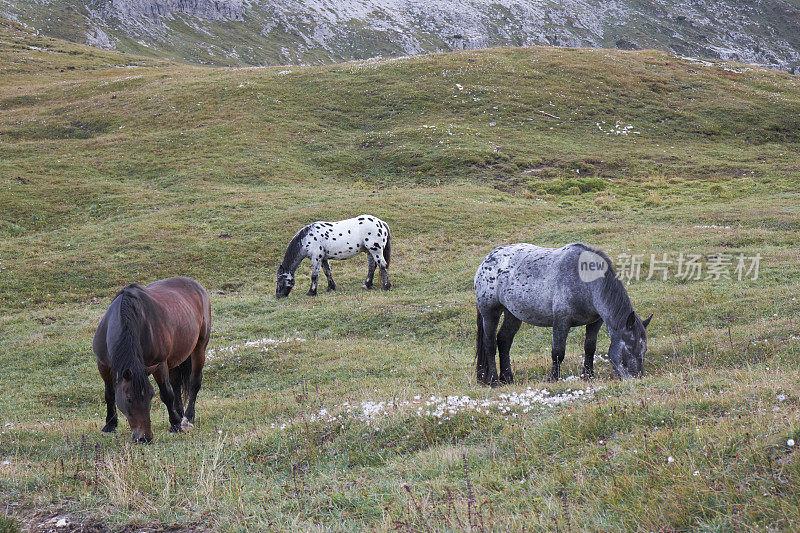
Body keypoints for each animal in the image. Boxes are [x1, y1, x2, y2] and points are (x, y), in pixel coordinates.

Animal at [92, 276, 211, 442]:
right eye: (129, 399)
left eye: (150, 396)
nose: (144, 438)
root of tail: (196, 285)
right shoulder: (103, 365)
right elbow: (109, 394)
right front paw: (110, 425)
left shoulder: (159, 364)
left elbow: (166, 394)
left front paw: (175, 425)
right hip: (174, 358)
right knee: (176, 383)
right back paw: (180, 413)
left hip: (199, 347)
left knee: (194, 382)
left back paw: (187, 419)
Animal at [476, 242, 648, 386]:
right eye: (629, 348)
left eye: (644, 350)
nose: (636, 378)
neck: (584, 282)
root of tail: (486, 261)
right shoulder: (561, 321)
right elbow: (558, 353)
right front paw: (553, 378)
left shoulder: (595, 322)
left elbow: (589, 348)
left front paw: (588, 376)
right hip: (490, 313)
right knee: (490, 344)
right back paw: (493, 380)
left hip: (513, 314)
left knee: (504, 341)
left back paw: (508, 379)